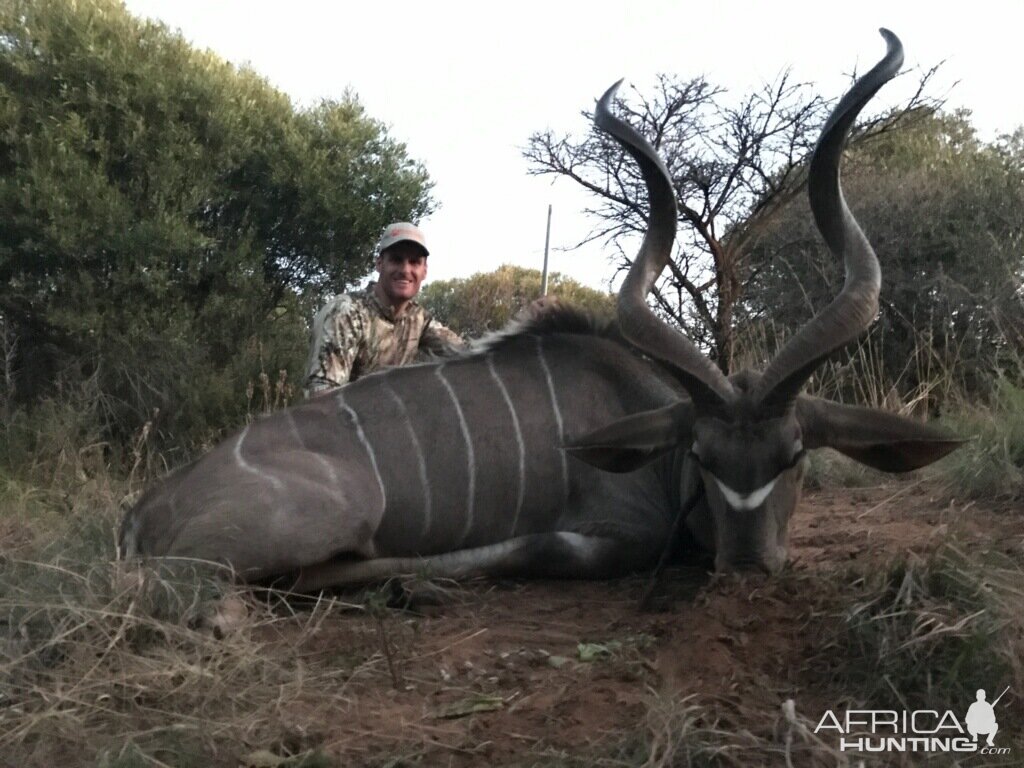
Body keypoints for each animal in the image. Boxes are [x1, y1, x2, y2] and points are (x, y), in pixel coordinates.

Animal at [119, 31, 958, 589]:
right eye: (704, 456)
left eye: (793, 456)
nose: (748, 566)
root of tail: (143, 511)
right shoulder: (618, 528)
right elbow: (561, 545)